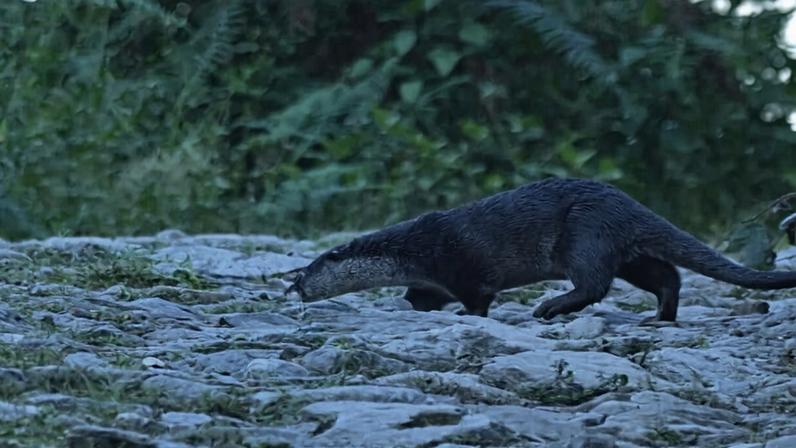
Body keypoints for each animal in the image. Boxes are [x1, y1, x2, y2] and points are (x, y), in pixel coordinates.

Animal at [286, 178, 796, 321]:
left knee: (594, 284)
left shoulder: (458, 265)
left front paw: (467, 317)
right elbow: (420, 296)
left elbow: (477, 299)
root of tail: (627, 202)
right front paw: (415, 306)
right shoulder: (430, 278)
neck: (411, 250)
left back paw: (550, 308)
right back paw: (659, 318)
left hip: (585, 233)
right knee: (666, 275)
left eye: (304, 272)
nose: (295, 290)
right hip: (625, 249)